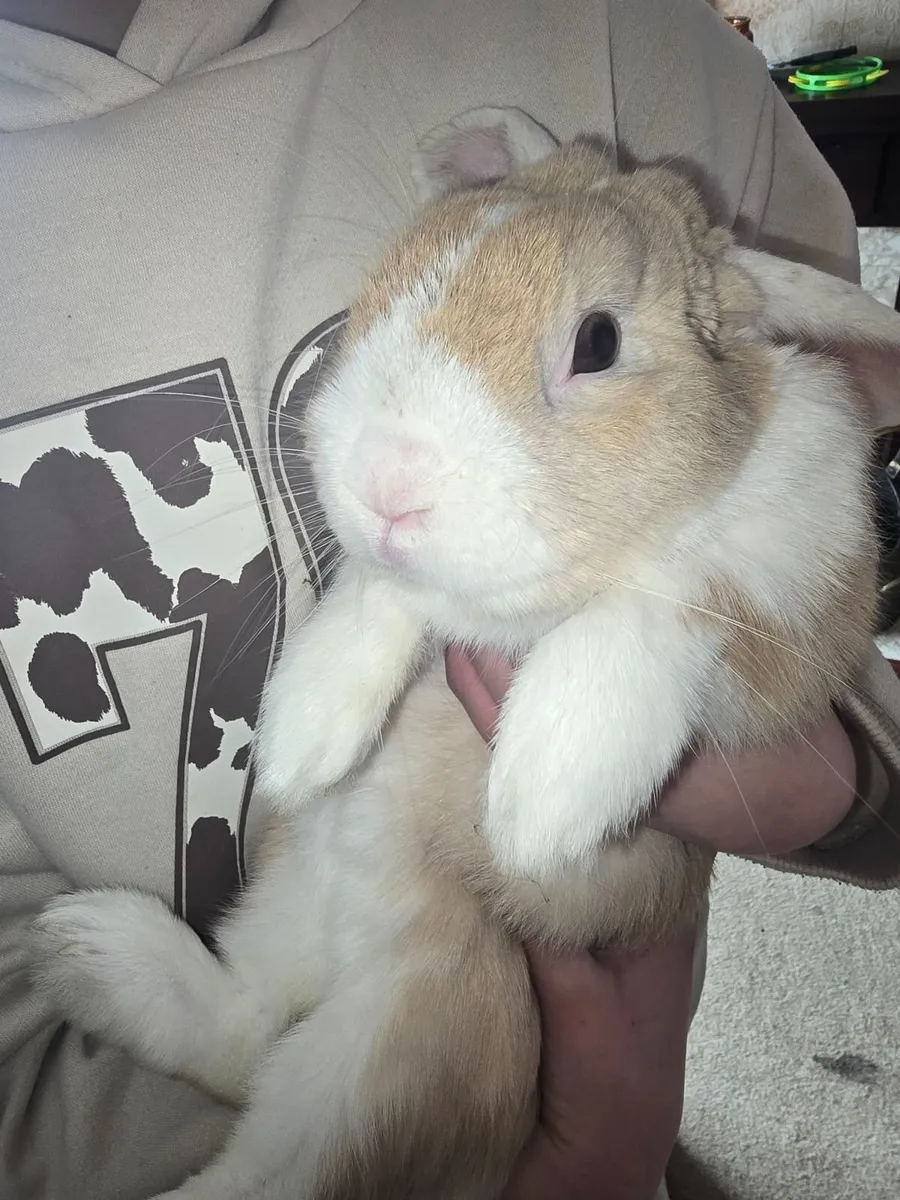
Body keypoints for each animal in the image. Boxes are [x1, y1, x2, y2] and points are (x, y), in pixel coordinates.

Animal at [29, 106, 899, 1200]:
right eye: (397, 281)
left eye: (599, 342)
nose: (384, 479)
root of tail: (346, 947)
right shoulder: (404, 582)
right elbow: (387, 593)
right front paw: (305, 732)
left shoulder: (803, 596)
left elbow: (674, 591)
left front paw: (544, 793)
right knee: (250, 1043)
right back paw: (93, 949)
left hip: (440, 1017)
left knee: (272, 1100)